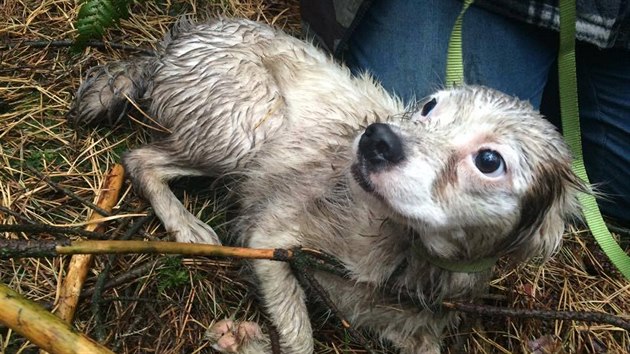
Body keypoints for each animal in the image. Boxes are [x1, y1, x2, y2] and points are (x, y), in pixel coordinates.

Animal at [69, 17, 588, 354]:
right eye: (428, 106)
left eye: (489, 161)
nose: (376, 138)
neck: (403, 249)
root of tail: (174, 40)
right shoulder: (271, 238)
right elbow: (299, 338)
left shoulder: (415, 332)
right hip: (244, 130)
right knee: (139, 157)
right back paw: (187, 226)